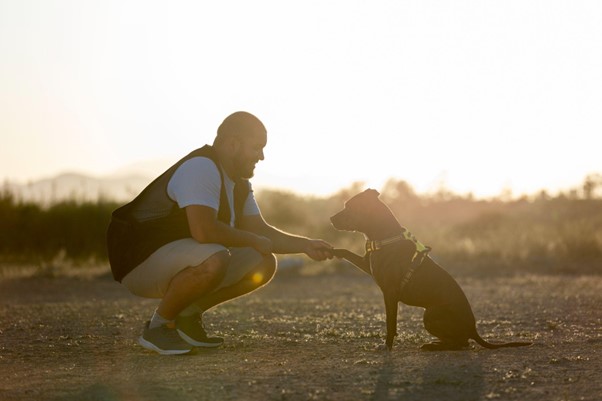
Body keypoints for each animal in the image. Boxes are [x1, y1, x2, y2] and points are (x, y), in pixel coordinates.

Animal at [328, 189, 528, 348]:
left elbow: (390, 323)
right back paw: (436, 343)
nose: (330, 218)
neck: (385, 236)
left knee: (462, 344)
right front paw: (330, 250)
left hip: (430, 314)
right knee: (459, 341)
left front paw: (387, 346)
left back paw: (432, 346)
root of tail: (474, 330)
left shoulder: (390, 294)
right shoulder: (367, 265)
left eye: (349, 207)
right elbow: (345, 251)